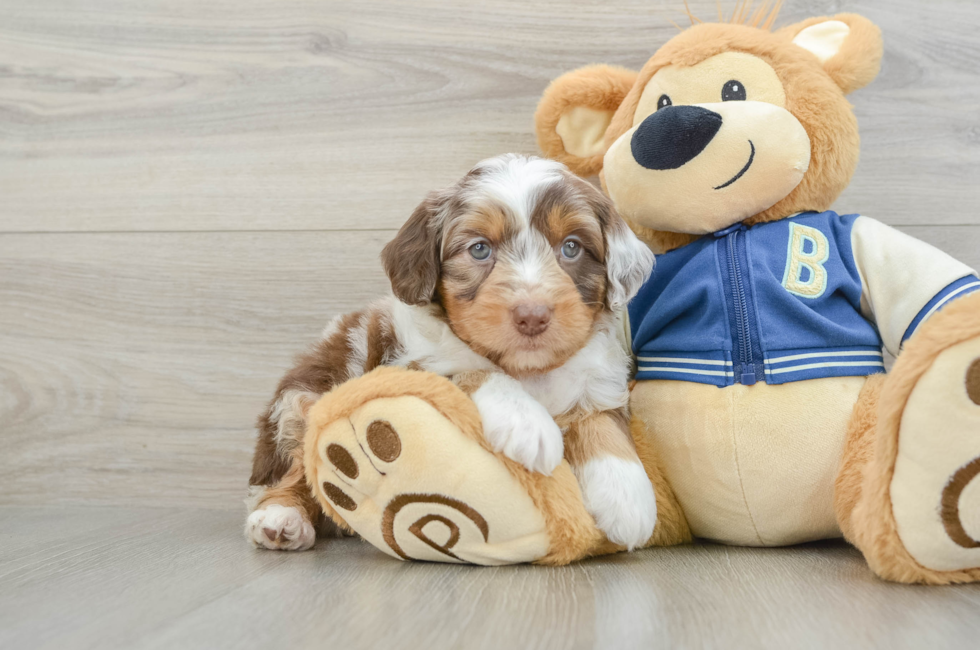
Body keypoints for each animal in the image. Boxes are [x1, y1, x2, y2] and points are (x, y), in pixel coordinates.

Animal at [245, 153, 660, 552]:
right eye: (479, 249)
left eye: (571, 247)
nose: (532, 315)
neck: (530, 372)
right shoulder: (412, 365)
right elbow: (473, 369)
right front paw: (527, 425)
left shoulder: (599, 380)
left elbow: (602, 421)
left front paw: (628, 497)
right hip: (303, 400)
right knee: (291, 469)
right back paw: (281, 519)